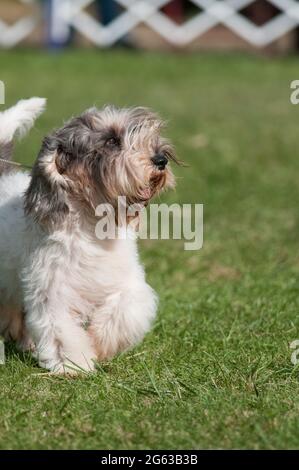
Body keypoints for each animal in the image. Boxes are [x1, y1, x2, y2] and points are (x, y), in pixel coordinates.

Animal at [0, 97, 178, 372]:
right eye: (112, 141)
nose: (161, 159)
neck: (92, 228)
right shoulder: (52, 292)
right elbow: (61, 332)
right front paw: (73, 365)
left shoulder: (126, 281)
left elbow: (126, 310)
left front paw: (100, 343)